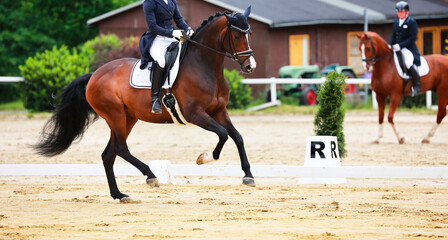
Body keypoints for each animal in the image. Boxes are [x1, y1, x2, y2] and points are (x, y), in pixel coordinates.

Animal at [34, 10, 260, 202]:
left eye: (249, 33)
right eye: (237, 36)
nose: (250, 66)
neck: (204, 66)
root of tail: (94, 75)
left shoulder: (219, 111)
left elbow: (237, 136)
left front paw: (248, 176)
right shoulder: (195, 114)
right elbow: (222, 134)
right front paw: (204, 159)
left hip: (128, 118)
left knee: (109, 154)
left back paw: (119, 194)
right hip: (115, 116)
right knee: (120, 148)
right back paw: (150, 176)